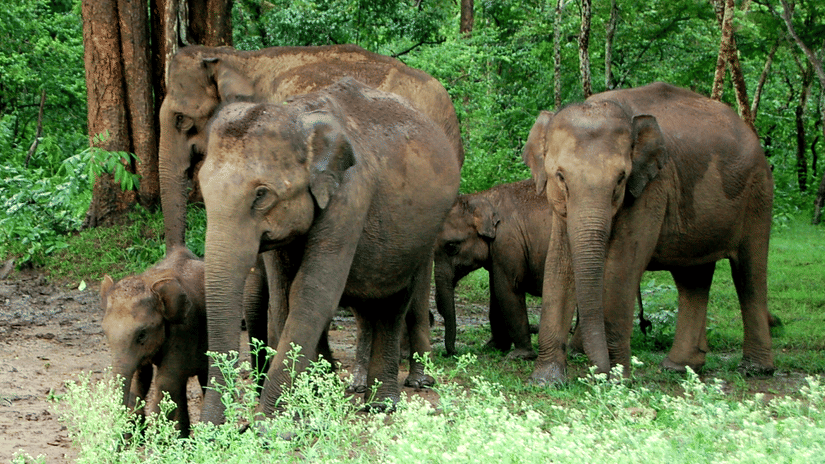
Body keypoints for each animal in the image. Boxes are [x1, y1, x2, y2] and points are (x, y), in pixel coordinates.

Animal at [100, 246, 207, 437]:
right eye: (105, 333)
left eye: (142, 334)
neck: (150, 281)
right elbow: (141, 375)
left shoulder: (185, 330)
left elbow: (166, 381)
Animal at [197, 77, 461, 424]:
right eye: (202, 187)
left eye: (261, 194)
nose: (209, 430)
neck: (298, 115)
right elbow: (284, 294)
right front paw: (309, 404)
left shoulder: (351, 194)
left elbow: (313, 290)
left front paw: (273, 425)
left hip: (424, 233)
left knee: (396, 301)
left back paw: (383, 404)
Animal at [522, 82, 774, 385]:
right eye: (560, 177)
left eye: (621, 178)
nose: (597, 371)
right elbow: (559, 265)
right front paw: (546, 380)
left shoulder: (651, 188)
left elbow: (622, 266)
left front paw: (618, 379)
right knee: (694, 278)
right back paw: (679, 367)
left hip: (758, 194)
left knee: (749, 273)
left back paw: (755, 369)